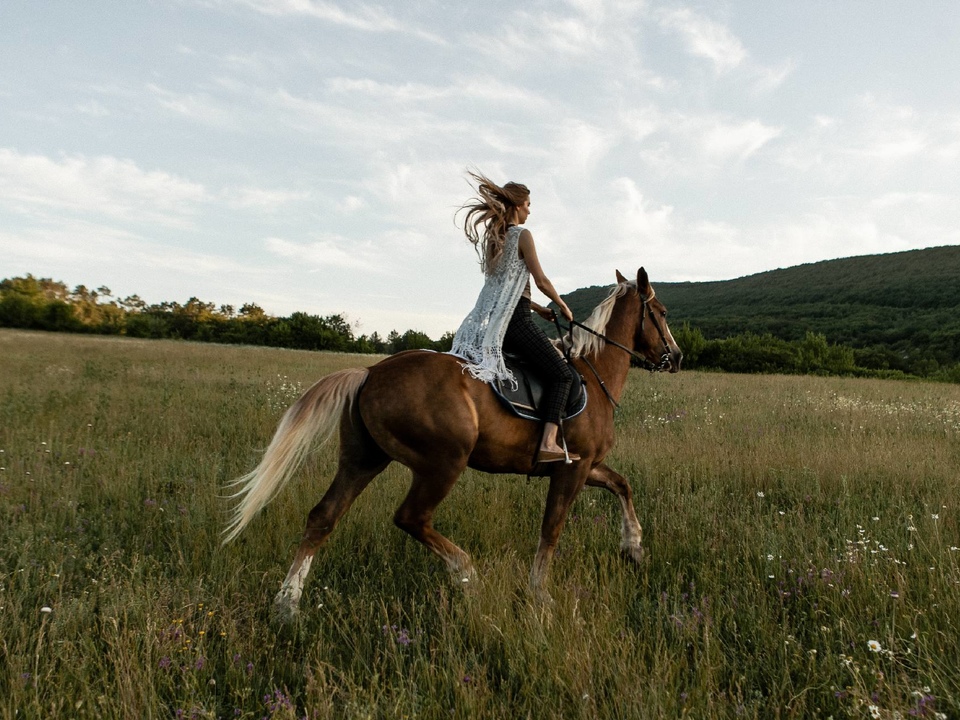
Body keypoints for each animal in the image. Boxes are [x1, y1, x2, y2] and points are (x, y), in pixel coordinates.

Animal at [225, 268, 684, 620]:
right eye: (661, 313)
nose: (677, 358)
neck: (593, 373)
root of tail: (371, 372)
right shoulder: (572, 468)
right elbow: (551, 529)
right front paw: (541, 595)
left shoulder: (585, 466)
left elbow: (622, 485)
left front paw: (634, 548)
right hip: (444, 462)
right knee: (411, 517)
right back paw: (466, 574)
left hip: (363, 459)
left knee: (323, 517)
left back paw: (287, 605)